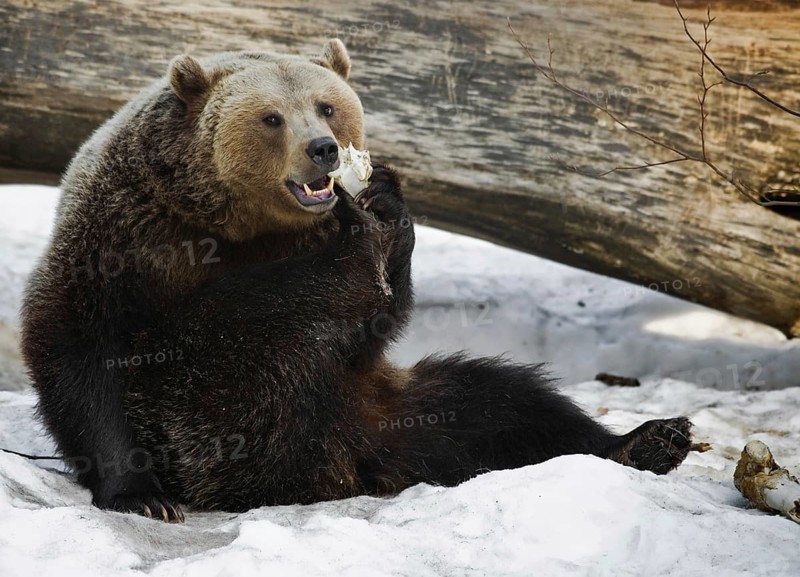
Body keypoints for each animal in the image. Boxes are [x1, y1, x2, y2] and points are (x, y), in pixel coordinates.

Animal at [20, 39, 693, 522]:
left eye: (327, 104)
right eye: (270, 117)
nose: (323, 149)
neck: (239, 224)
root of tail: (348, 468)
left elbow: (376, 321)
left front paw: (387, 210)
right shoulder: (126, 237)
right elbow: (80, 346)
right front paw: (139, 491)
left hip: (382, 407)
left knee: (501, 402)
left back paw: (648, 440)